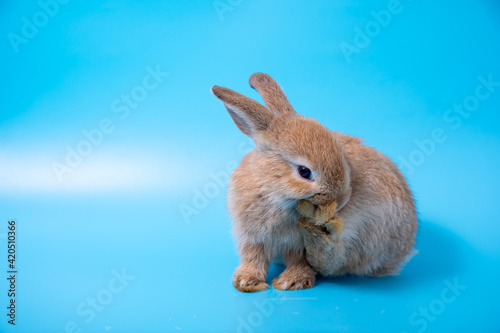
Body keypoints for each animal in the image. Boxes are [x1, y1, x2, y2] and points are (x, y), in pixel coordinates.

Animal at [211, 72, 418, 290]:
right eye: (304, 172)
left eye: (341, 156)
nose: (342, 199)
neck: (274, 194)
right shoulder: (252, 237)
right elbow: (253, 257)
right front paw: (246, 280)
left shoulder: (296, 245)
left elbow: (299, 260)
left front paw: (292, 281)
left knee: (334, 262)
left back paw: (322, 238)